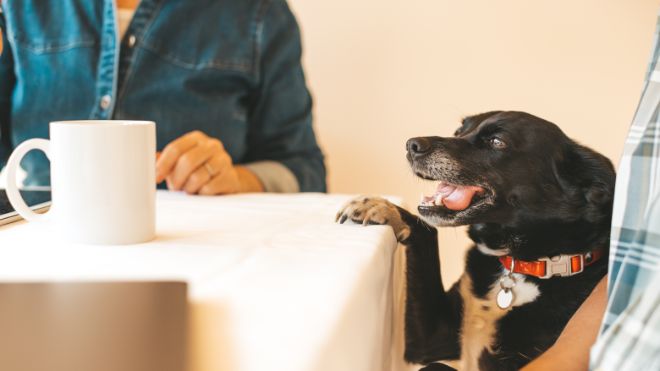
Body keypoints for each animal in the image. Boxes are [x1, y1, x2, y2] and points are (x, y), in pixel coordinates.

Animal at [338, 112, 616, 371]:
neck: (518, 265)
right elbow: (427, 230)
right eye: (459, 131)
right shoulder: (431, 342)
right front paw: (382, 207)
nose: (411, 145)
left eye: (497, 141)